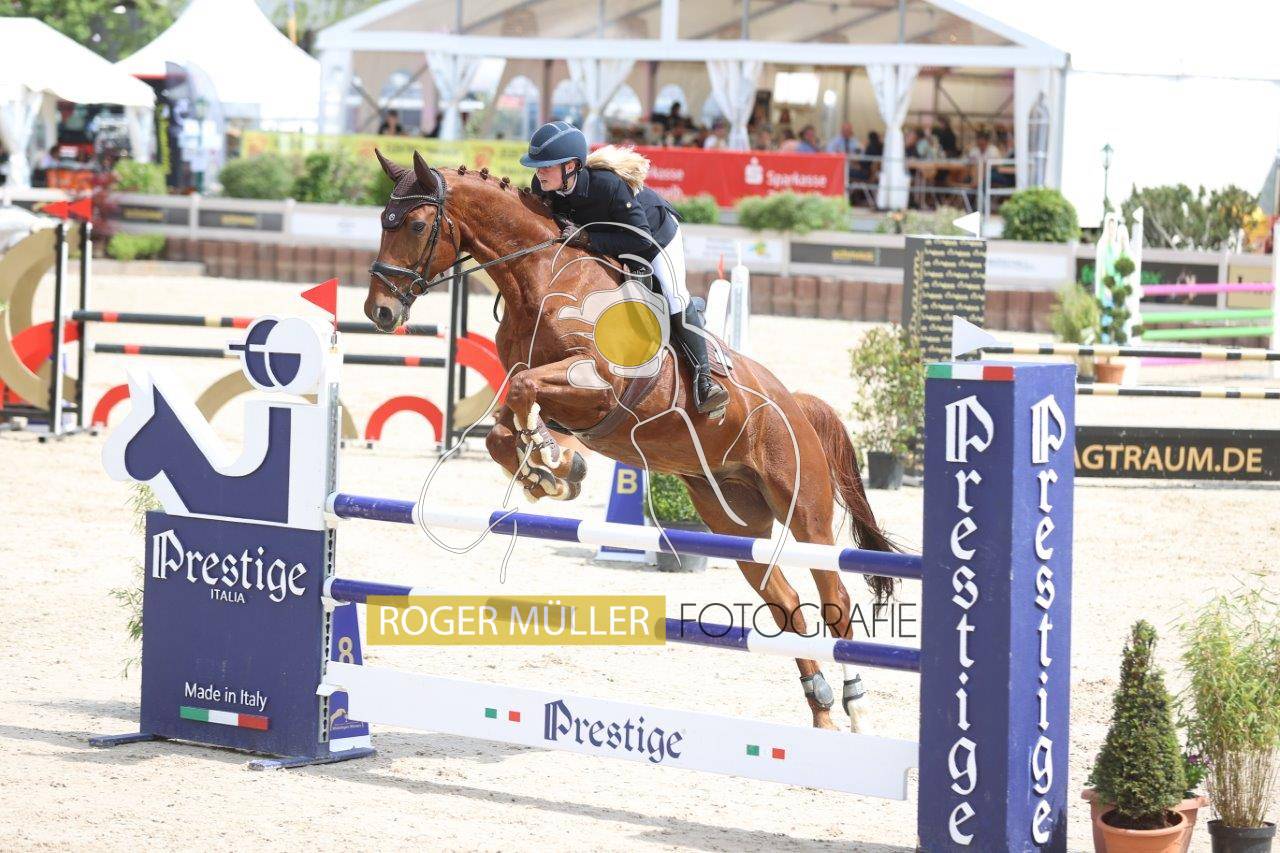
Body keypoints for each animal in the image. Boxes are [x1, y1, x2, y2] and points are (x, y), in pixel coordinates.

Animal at [365, 150, 898, 731]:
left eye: (416, 226)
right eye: (383, 223)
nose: (379, 312)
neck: (540, 277)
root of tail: (796, 403)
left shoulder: (595, 385)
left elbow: (526, 396)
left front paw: (550, 461)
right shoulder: (542, 390)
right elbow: (503, 431)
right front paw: (551, 473)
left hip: (804, 510)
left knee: (834, 598)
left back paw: (855, 705)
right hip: (734, 520)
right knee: (788, 604)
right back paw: (821, 711)